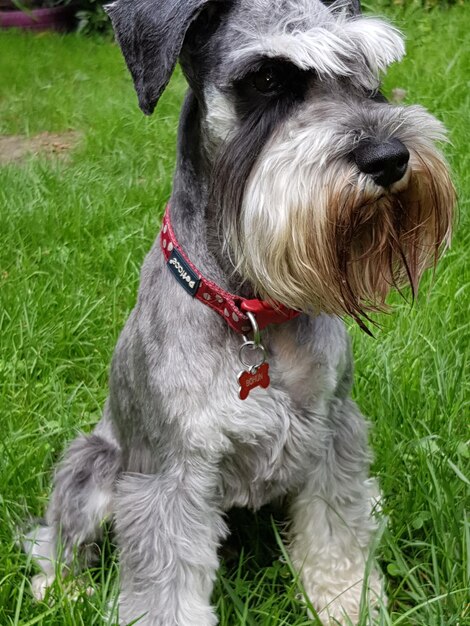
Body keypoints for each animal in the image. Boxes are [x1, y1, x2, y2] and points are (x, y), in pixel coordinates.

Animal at [23, 0, 456, 620]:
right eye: (268, 79)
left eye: (368, 73)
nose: (389, 157)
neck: (254, 313)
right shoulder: (170, 474)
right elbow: (164, 587)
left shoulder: (334, 433)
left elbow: (338, 531)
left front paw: (346, 603)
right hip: (93, 463)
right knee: (56, 534)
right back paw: (60, 587)